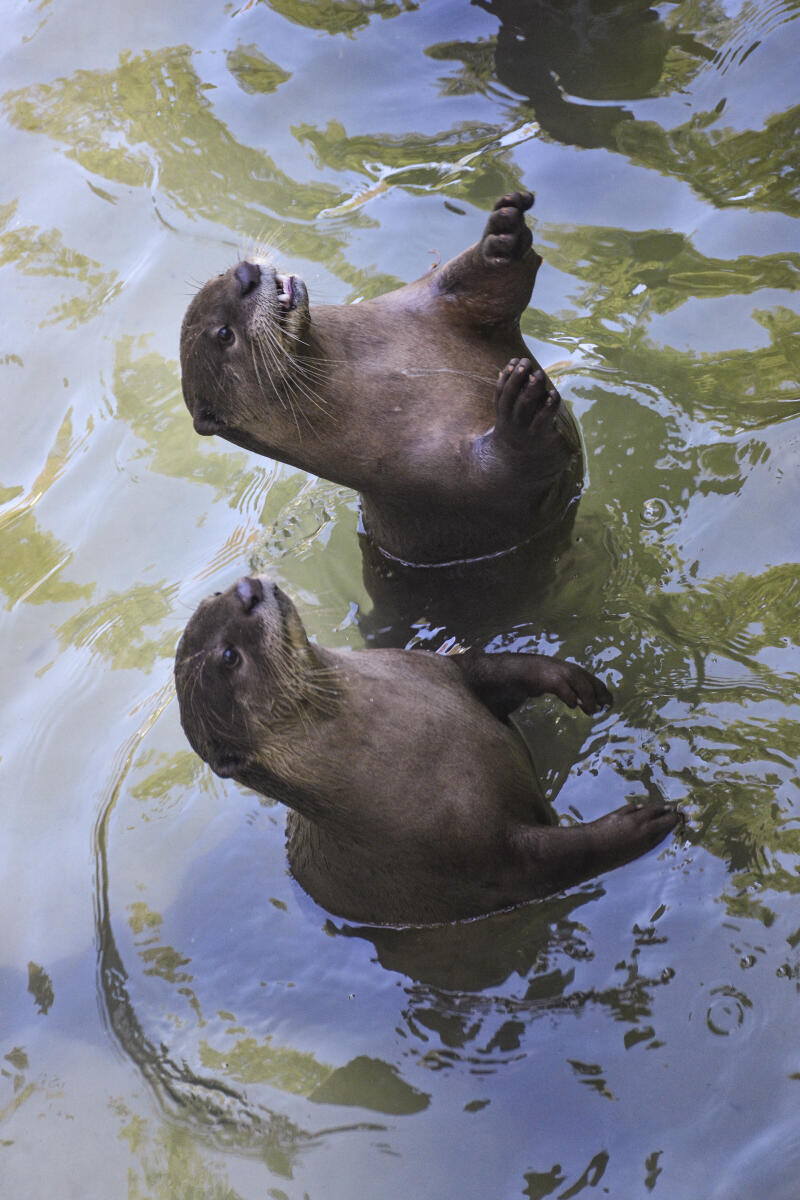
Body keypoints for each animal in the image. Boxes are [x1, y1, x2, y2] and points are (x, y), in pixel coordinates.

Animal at [174, 576, 681, 926]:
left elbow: (495, 670)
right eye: (228, 657)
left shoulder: (439, 670)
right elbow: (562, 859)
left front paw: (573, 681)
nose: (246, 589)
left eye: (216, 592)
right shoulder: (481, 854)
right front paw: (641, 824)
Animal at [180, 193, 582, 566]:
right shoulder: (434, 485)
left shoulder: (423, 303)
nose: (245, 274)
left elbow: (492, 288)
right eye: (224, 334)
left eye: (221, 274)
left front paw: (501, 238)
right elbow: (515, 472)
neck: (391, 376)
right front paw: (522, 412)